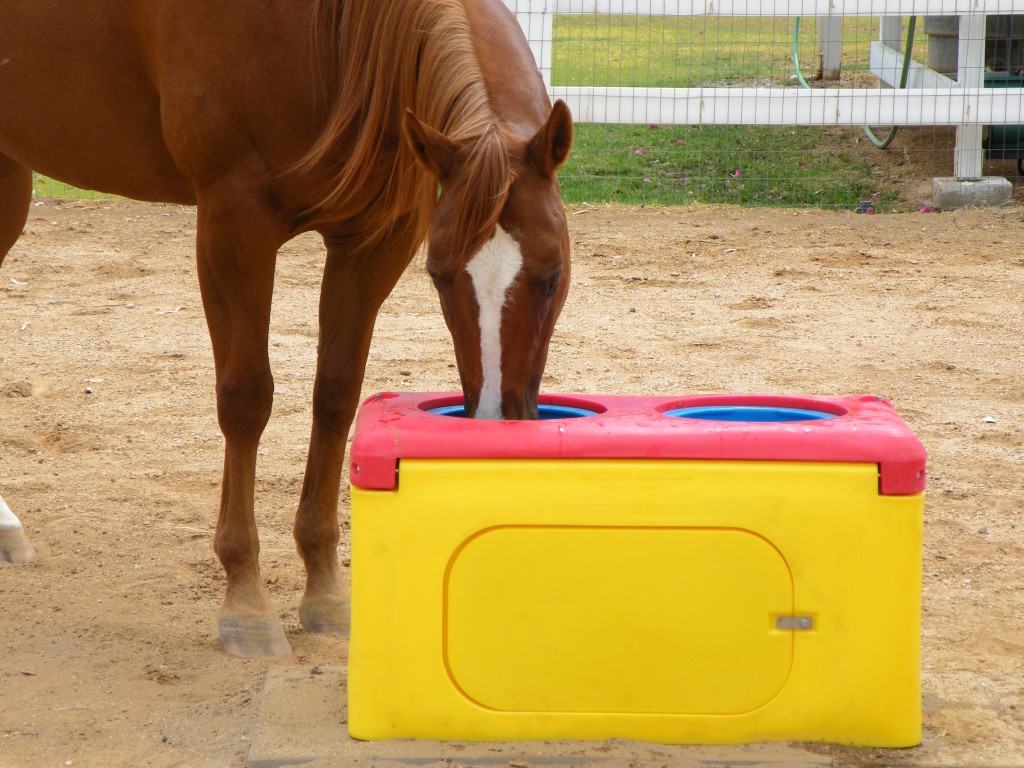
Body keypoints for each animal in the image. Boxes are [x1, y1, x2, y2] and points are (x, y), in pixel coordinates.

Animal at [0, 1, 577, 663]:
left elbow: (336, 395)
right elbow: (246, 399)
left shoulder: (375, 237)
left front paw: (326, 593)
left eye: (553, 274)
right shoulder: (233, 222)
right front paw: (246, 602)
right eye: (439, 274)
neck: (330, 33)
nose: (492, 426)